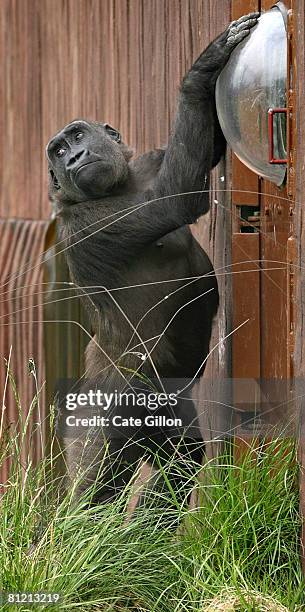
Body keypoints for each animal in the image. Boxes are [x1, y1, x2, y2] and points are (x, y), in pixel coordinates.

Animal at [46, 13, 258, 516]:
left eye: (76, 138)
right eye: (58, 152)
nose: (76, 156)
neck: (120, 184)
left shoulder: (150, 159)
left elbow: (200, 150)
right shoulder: (85, 225)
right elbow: (174, 198)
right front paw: (203, 69)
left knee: (180, 460)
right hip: (107, 406)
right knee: (91, 495)